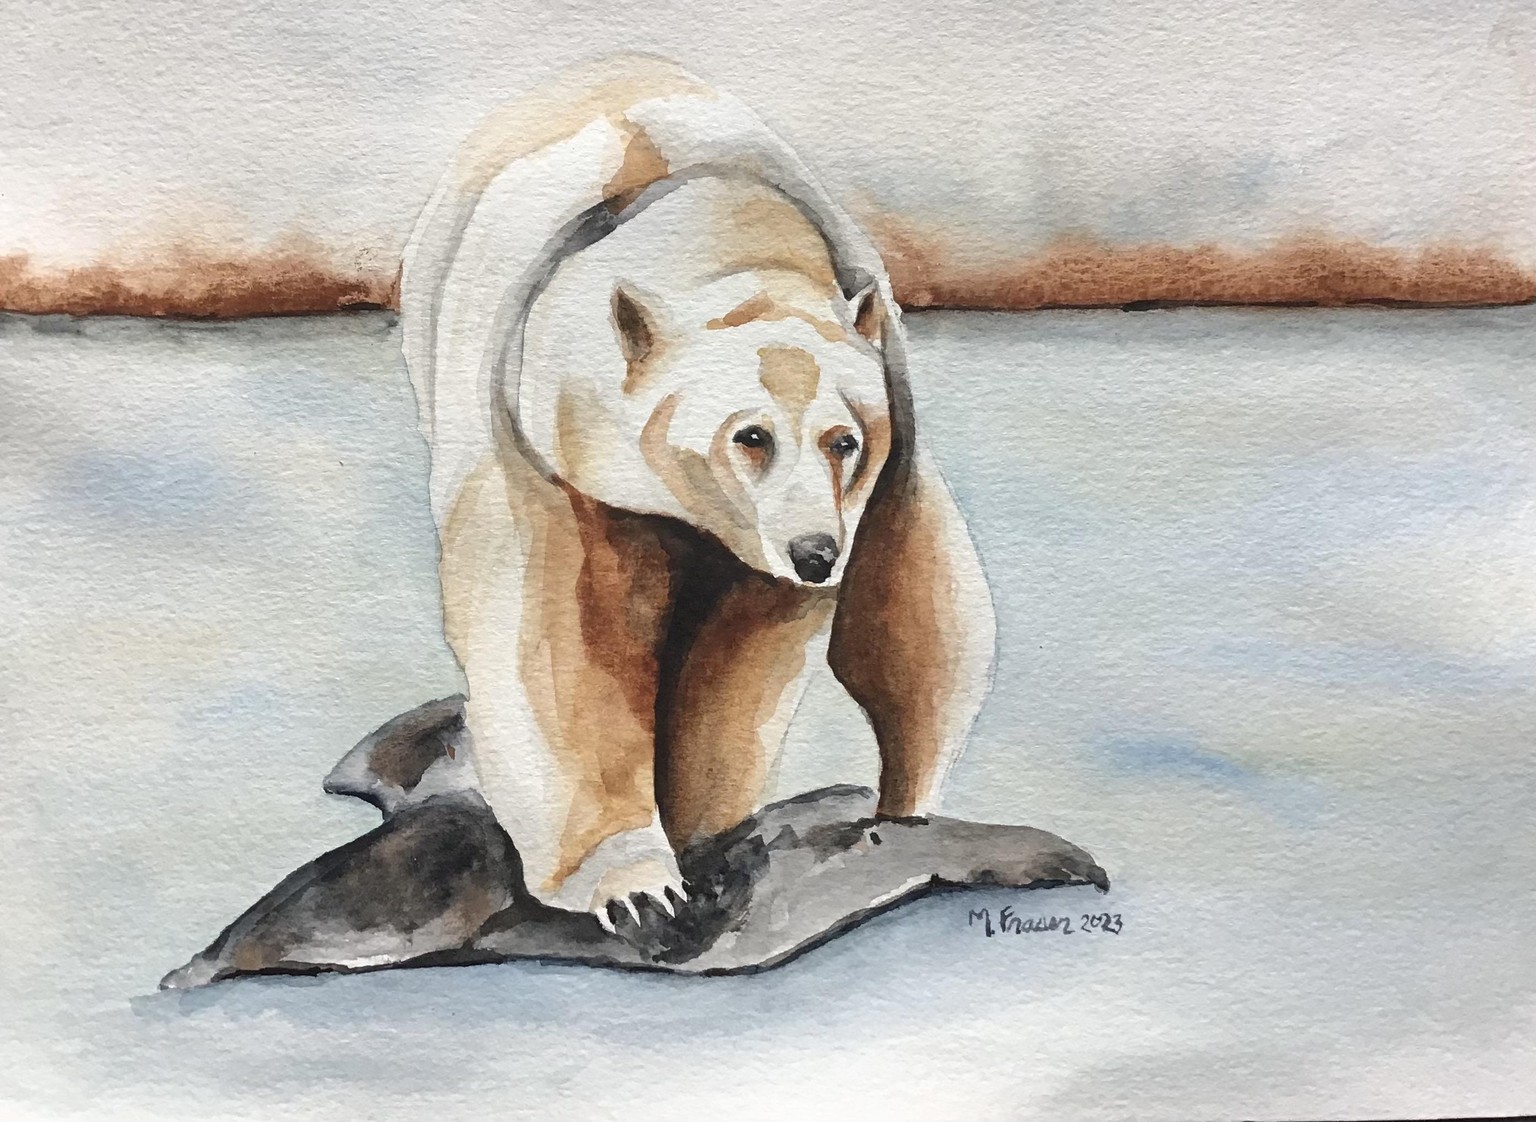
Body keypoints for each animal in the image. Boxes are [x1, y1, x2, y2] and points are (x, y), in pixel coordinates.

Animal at [400, 54, 996, 928]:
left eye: (843, 440)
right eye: (751, 436)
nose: (815, 553)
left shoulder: (872, 447)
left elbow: (765, 649)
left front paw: (703, 819)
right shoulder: (526, 428)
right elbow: (552, 644)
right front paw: (635, 885)